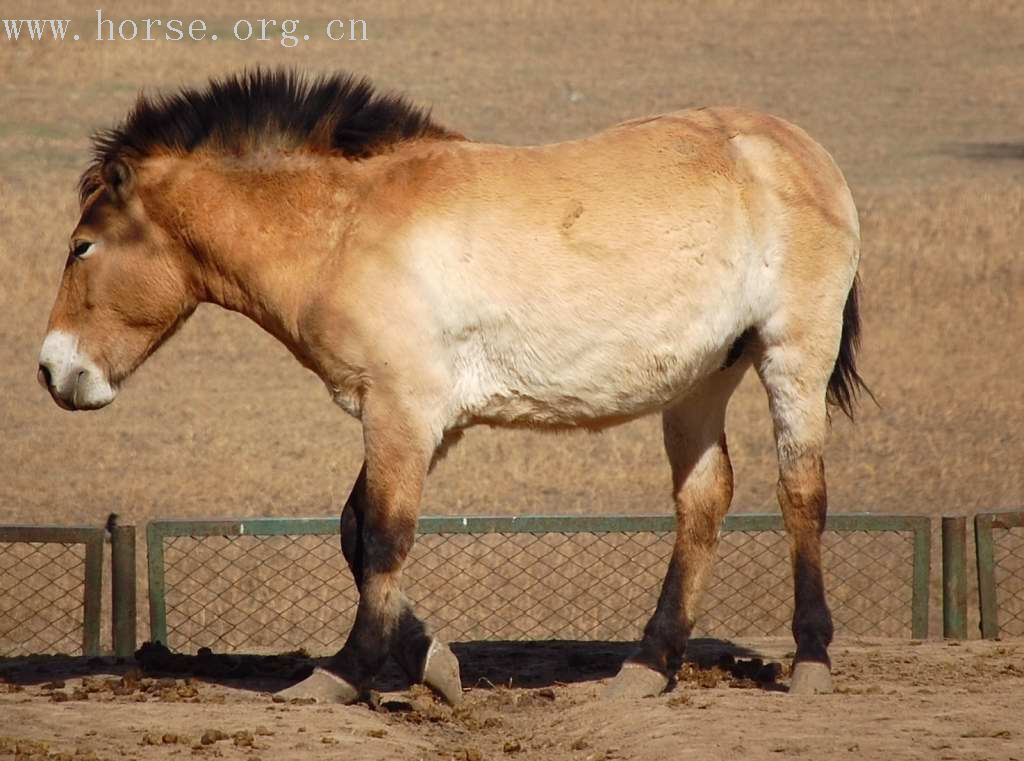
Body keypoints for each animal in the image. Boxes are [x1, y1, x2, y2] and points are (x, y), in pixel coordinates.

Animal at [41, 68, 872, 704]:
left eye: (83, 246)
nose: (54, 369)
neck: (346, 226)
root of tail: (798, 151)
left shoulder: (402, 411)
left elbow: (382, 535)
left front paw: (343, 674)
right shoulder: (416, 419)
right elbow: (354, 530)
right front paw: (432, 662)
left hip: (791, 351)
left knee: (801, 492)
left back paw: (811, 660)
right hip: (702, 377)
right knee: (703, 500)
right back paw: (647, 665)